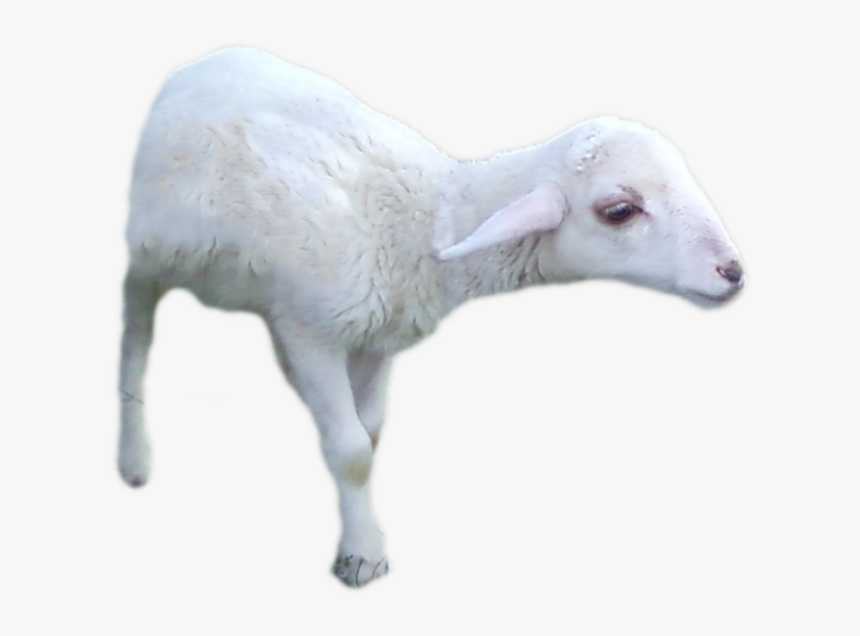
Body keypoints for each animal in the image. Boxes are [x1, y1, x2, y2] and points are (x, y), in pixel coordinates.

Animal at [119, 47, 744, 587]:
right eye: (619, 210)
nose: (732, 271)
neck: (423, 223)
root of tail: (205, 63)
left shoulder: (378, 336)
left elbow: (370, 432)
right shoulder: (310, 329)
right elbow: (350, 451)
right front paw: (363, 554)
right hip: (152, 252)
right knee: (136, 339)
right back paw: (133, 457)